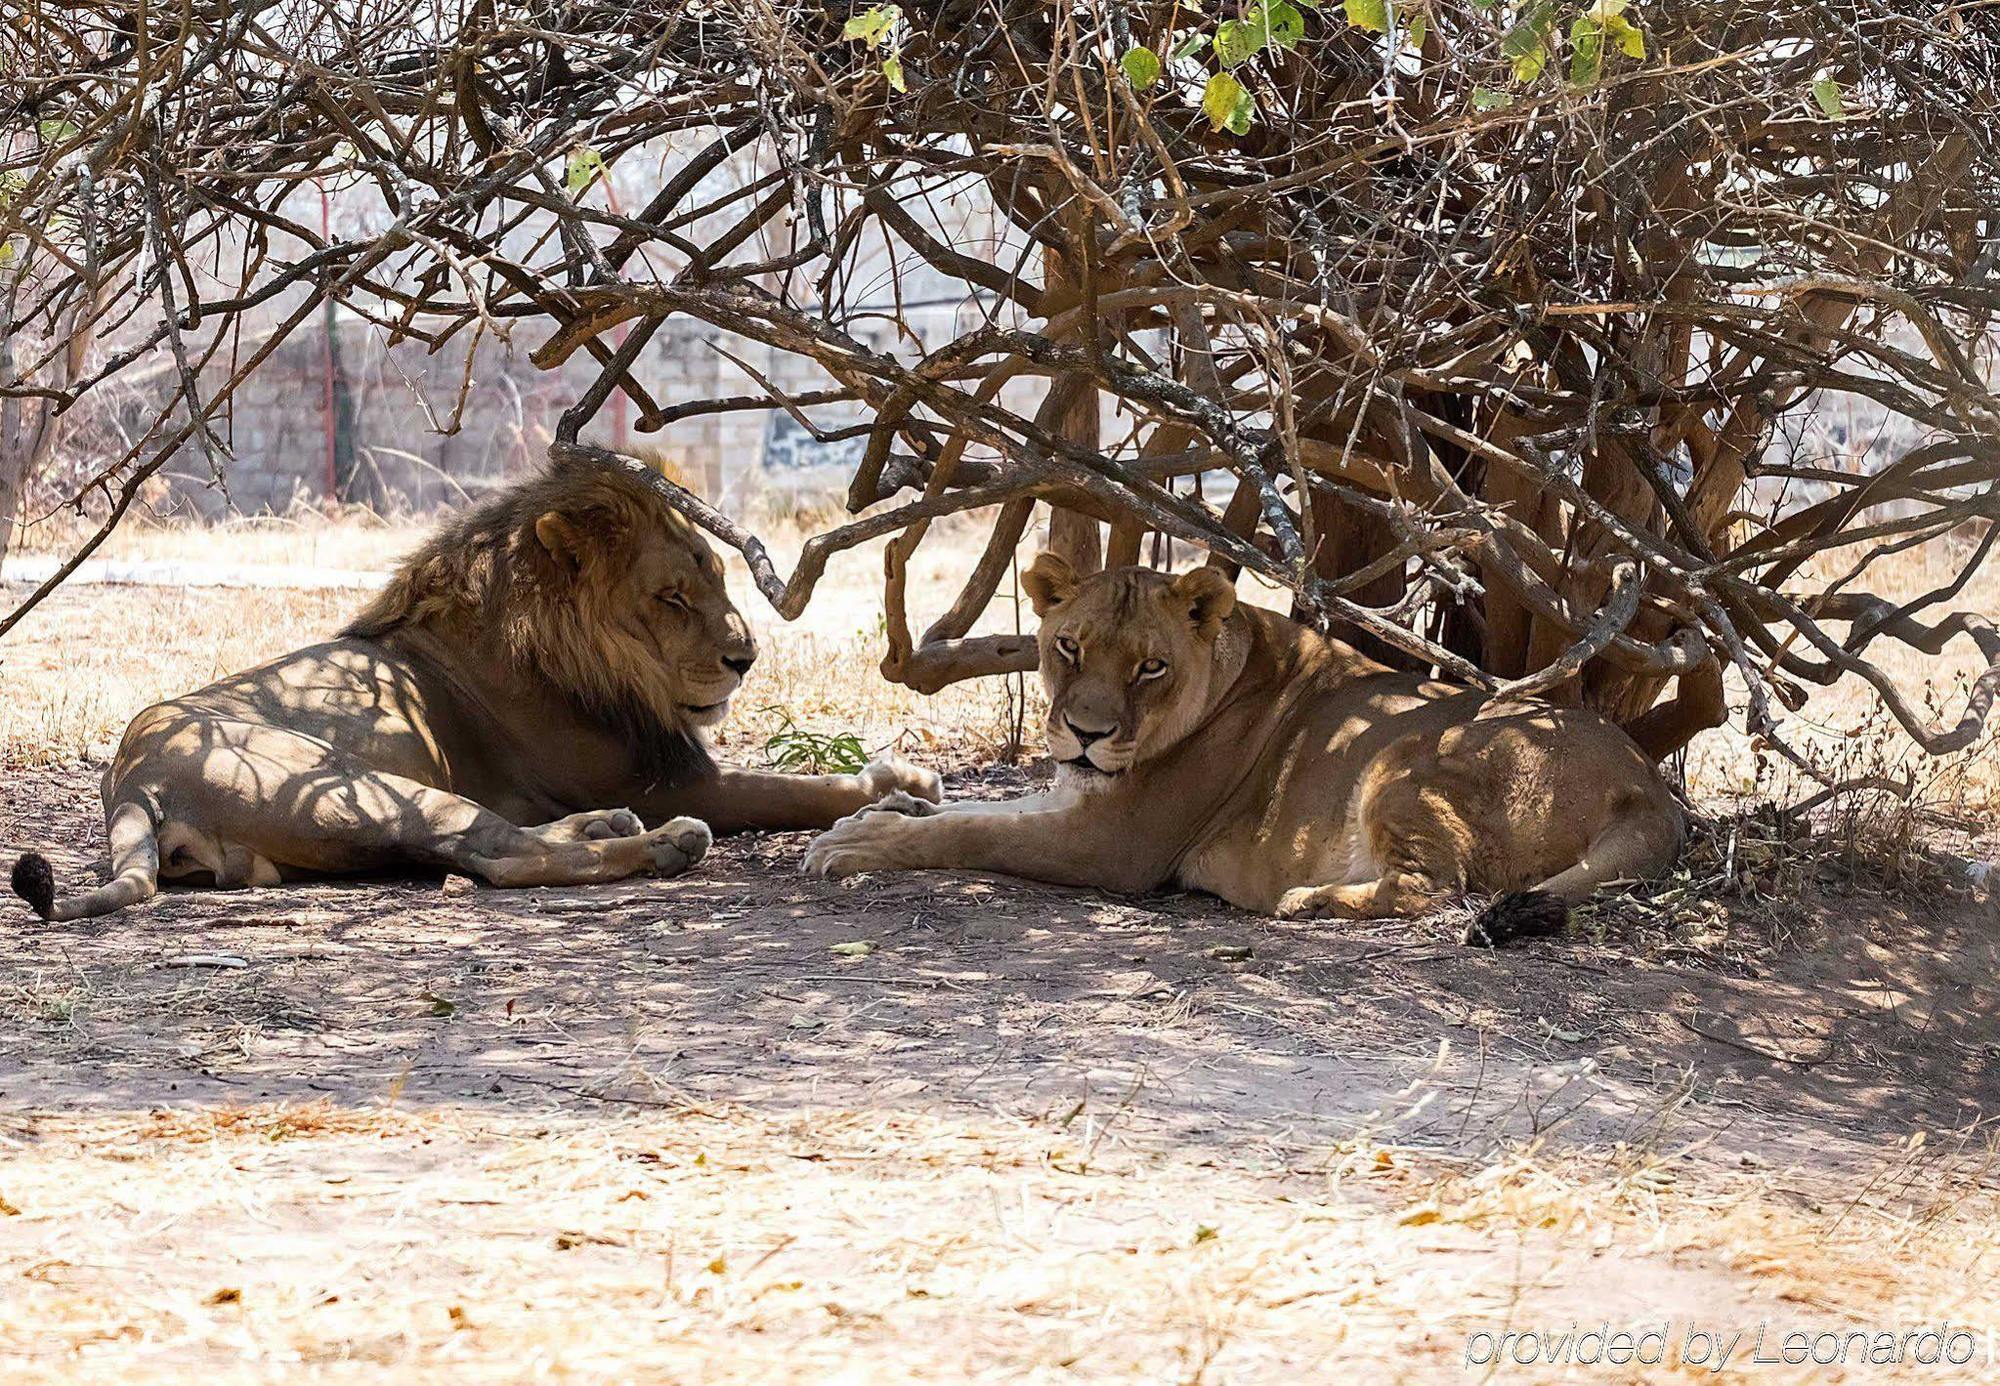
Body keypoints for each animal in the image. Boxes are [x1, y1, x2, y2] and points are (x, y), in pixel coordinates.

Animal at [13, 448, 936, 920]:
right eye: (673, 596)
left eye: (717, 576)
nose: (747, 657)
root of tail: (134, 780)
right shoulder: (673, 776)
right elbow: (792, 788)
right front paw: (894, 794)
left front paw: (901, 779)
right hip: (359, 784)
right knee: (500, 856)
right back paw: (661, 843)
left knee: (488, 842)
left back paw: (611, 826)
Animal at [804, 556, 1680, 940]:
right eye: (1069, 648)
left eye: (1150, 667)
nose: (1085, 734)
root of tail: (1648, 786)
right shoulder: (1080, 796)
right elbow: (997, 804)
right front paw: (884, 806)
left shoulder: (1113, 847)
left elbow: (975, 830)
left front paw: (859, 843)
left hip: (1407, 759)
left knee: (1436, 889)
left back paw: (1309, 900)